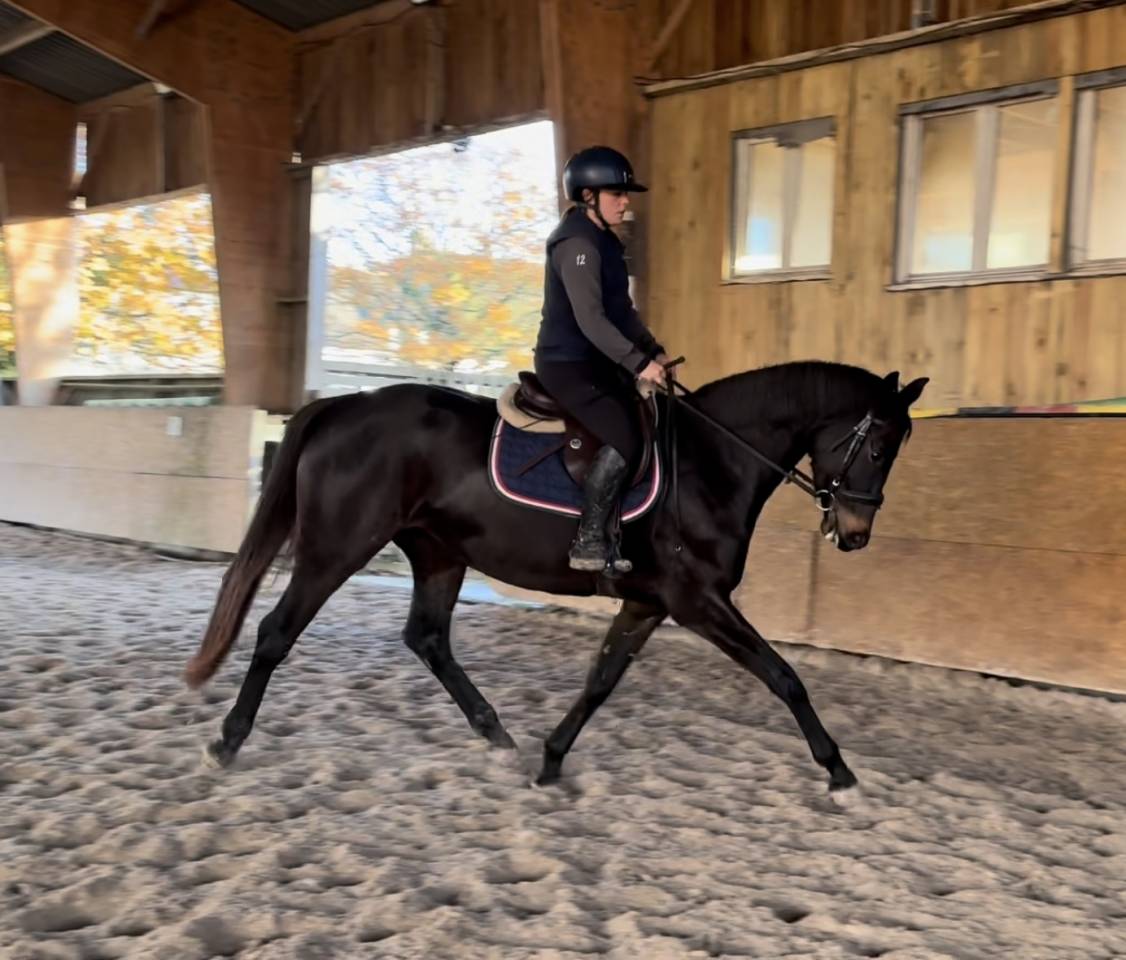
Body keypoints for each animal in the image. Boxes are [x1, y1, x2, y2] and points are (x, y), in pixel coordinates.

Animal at [183, 359, 928, 797]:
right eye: (879, 446)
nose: (855, 535)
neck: (712, 460)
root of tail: (345, 403)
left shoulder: (648, 603)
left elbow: (601, 679)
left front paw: (550, 759)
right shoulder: (699, 601)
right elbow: (784, 675)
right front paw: (838, 769)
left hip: (438, 553)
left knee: (428, 639)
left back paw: (498, 738)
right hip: (335, 549)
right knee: (277, 632)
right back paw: (225, 742)